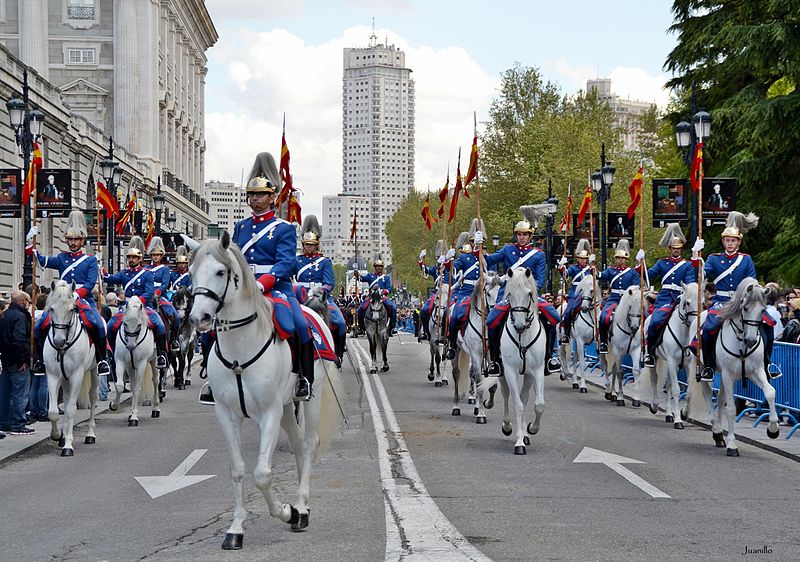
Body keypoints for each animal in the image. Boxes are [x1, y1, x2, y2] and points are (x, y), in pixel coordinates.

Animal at [42, 280, 99, 456]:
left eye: (72, 309)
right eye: (51, 308)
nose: (58, 341)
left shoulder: (76, 375)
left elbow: (71, 410)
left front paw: (68, 445)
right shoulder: (53, 375)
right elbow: (54, 411)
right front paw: (57, 435)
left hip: (94, 371)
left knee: (93, 397)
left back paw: (90, 435)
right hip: (65, 379)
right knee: (66, 400)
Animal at [193, 231, 344, 548]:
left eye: (221, 272)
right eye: (191, 272)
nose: (198, 318)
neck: (240, 347)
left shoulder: (269, 413)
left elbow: (262, 474)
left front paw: (287, 512)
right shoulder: (226, 414)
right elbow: (237, 470)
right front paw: (235, 529)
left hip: (310, 398)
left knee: (309, 444)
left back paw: (302, 509)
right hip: (287, 406)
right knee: (297, 444)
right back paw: (301, 505)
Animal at [478, 264, 548, 452]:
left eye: (529, 293)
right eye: (509, 294)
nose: (519, 325)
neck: (523, 336)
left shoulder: (537, 370)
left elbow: (538, 404)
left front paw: (531, 429)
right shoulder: (509, 371)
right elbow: (517, 404)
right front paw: (519, 443)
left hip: (528, 375)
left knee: (524, 397)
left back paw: (524, 432)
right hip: (502, 372)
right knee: (506, 394)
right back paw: (508, 427)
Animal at [640, 282, 696, 426]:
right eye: (687, 303)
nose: (695, 323)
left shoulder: (688, 364)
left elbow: (689, 390)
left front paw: (683, 413)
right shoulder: (671, 361)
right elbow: (676, 390)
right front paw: (678, 420)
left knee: (669, 384)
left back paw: (669, 414)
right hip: (655, 359)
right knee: (655, 379)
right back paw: (655, 406)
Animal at [688, 276, 780, 456]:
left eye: (763, 309)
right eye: (745, 308)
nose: (751, 340)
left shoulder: (756, 371)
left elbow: (770, 392)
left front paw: (773, 429)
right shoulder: (728, 374)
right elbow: (731, 409)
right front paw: (732, 445)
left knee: (721, 398)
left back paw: (719, 436)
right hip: (703, 367)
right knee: (708, 394)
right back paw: (717, 431)